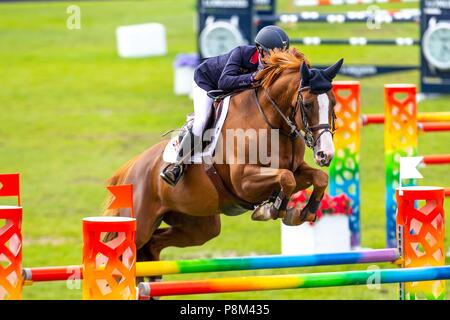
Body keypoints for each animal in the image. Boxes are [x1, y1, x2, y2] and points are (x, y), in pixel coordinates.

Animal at [103, 50, 342, 270]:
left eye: (333, 103)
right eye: (308, 104)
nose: (325, 154)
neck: (274, 124)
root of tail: (130, 170)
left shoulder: (297, 169)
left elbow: (317, 177)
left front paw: (304, 212)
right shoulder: (243, 182)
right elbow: (286, 178)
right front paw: (273, 210)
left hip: (198, 225)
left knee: (153, 244)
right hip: (140, 223)